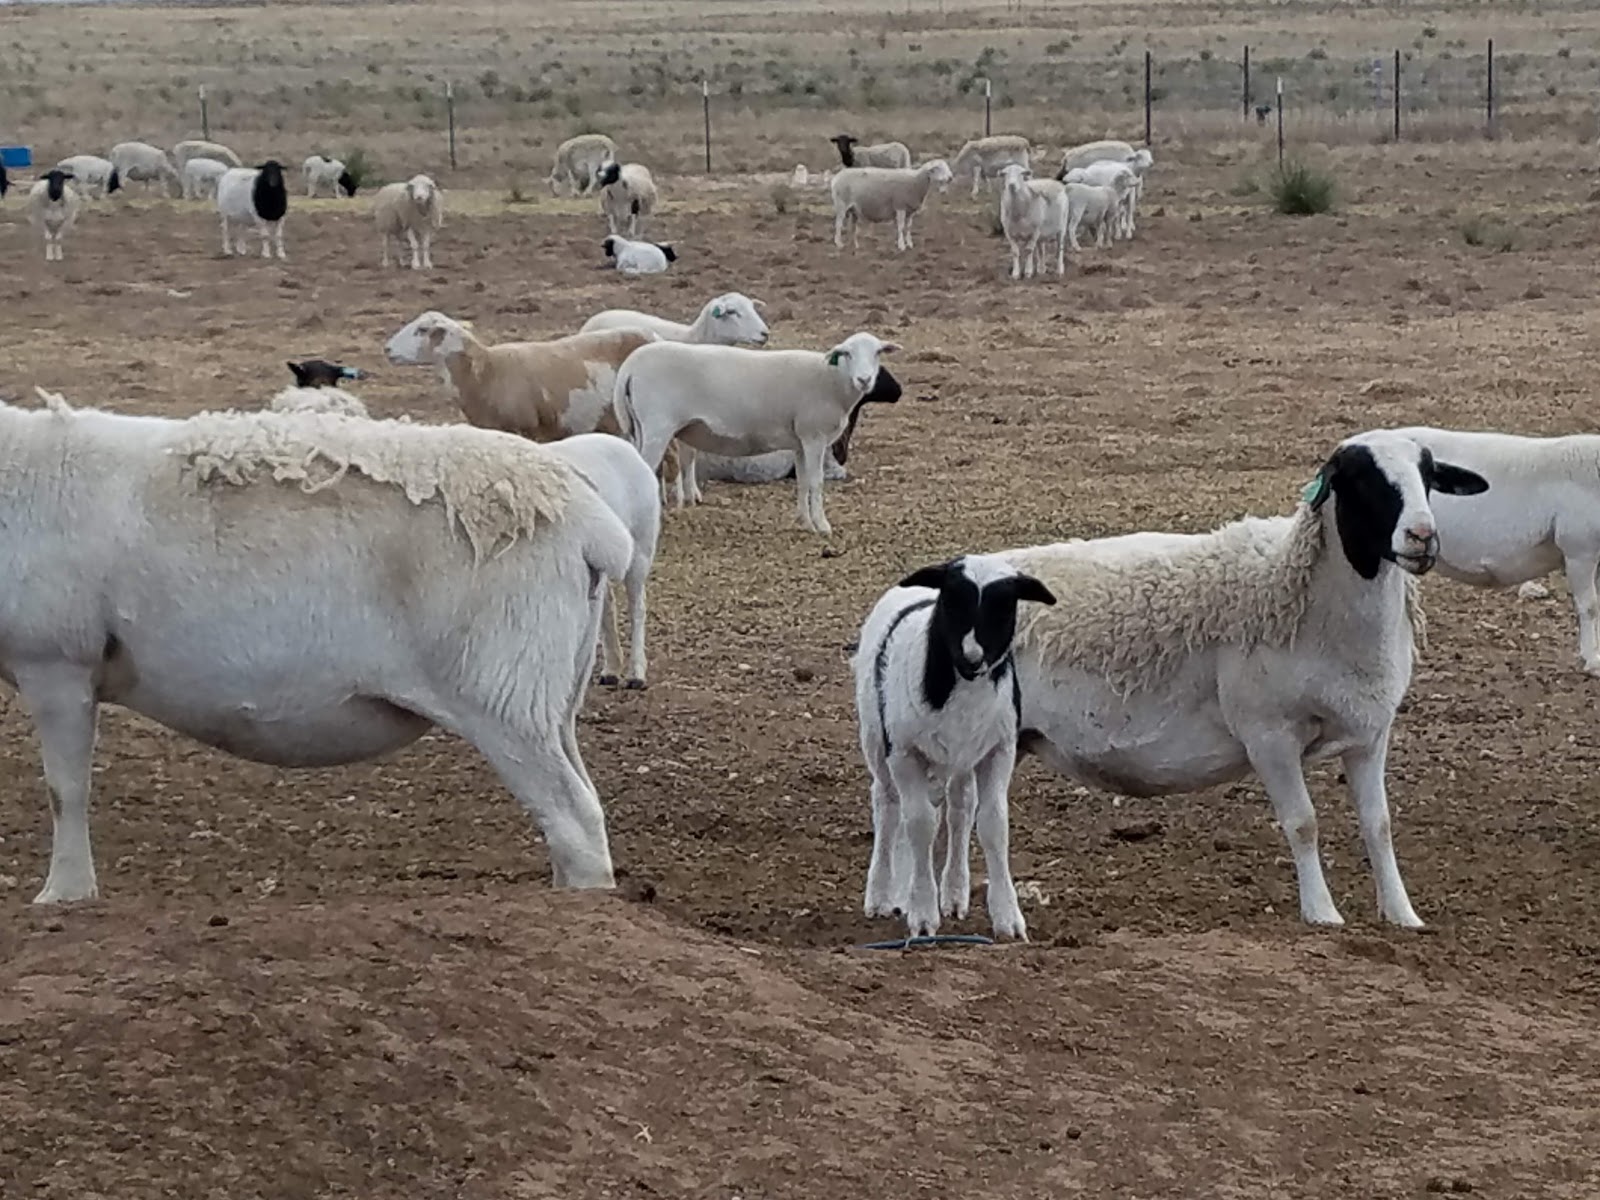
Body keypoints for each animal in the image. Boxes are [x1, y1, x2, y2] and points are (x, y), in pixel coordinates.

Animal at [6, 389, 635, 904]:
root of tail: (592, 526)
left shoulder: (55, 663)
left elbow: (65, 790)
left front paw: (63, 895)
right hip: (551, 695)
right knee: (582, 806)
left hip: (503, 693)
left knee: (574, 818)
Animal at [612, 331, 900, 536]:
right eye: (848, 354)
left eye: (877, 352)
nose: (864, 380)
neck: (832, 381)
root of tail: (631, 366)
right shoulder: (814, 435)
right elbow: (816, 482)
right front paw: (822, 525)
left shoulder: (800, 441)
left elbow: (802, 482)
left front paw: (805, 523)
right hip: (657, 426)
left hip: (640, 427)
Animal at [855, 554, 1058, 940]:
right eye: (952, 600)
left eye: (1004, 606)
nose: (972, 657)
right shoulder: (904, 754)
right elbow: (919, 824)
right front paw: (922, 915)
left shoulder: (999, 750)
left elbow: (993, 824)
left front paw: (1008, 919)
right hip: (876, 740)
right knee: (886, 805)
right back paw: (880, 894)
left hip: (962, 760)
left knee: (960, 809)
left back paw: (953, 894)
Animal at [974, 431, 1490, 929]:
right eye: (1360, 478)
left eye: (1428, 474)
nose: (1422, 536)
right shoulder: (1269, 734)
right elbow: (1303, 823)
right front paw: (1321, 913)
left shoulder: (1370, 733)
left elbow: (1378, 825)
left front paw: (1403, 915)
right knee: (988, 822)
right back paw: (1002, 915)